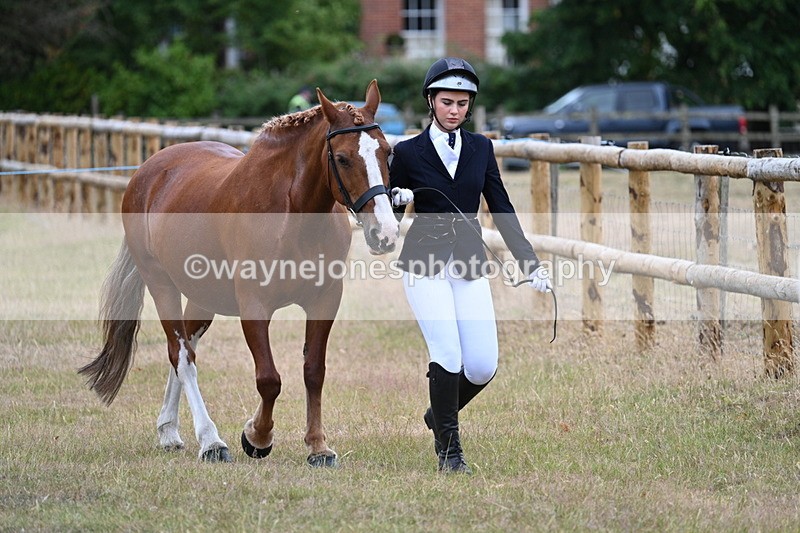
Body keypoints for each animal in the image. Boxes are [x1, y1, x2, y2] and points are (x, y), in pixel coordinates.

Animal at [78, 80, 399, 467]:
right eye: (342, 158)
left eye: (387, 153)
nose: (385, 232)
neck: (290, 213)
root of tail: (147, 171)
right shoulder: (254, 306)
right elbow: (269, 379)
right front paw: (257, 436)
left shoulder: (324, 300)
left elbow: (313, 372)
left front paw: (318, 446)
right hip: (161, 284)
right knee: (181, 355)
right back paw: (210, 441)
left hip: (203, 298)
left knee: (186, 349)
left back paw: (168, 430)